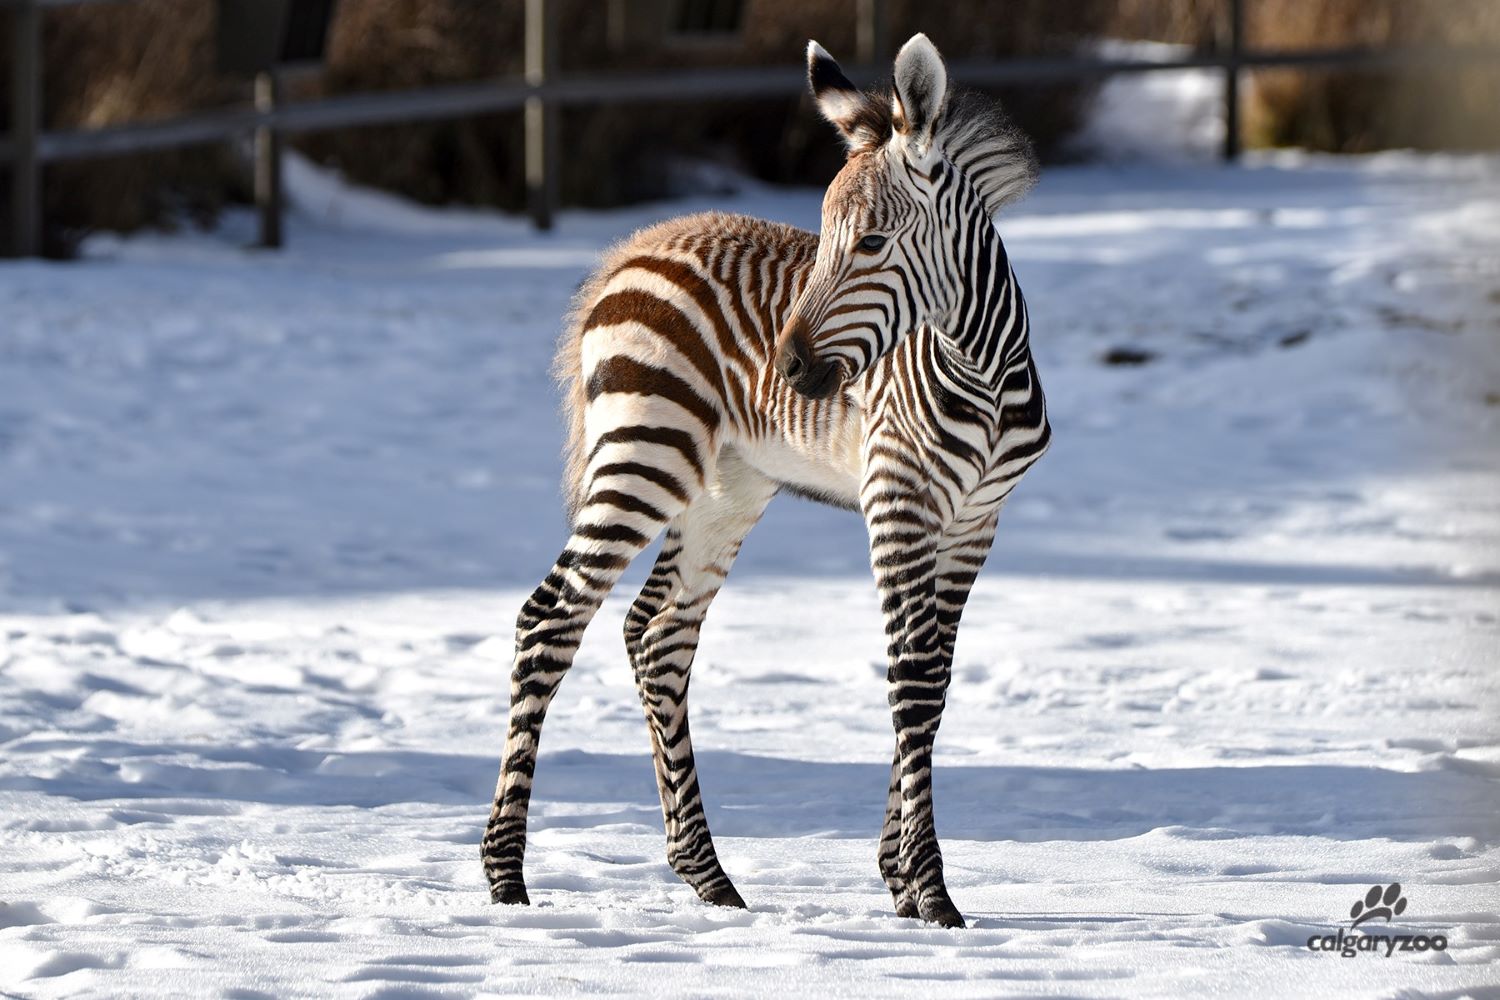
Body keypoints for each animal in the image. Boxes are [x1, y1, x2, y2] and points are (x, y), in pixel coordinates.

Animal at [482, 33, 1049, 928]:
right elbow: (910, 679)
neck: (980, 369)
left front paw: (899, 878)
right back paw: (506, 878)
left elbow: (932, 678)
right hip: (645, 456)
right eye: (823, 238)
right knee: (550, 618)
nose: (788, 370)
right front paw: (929, 890)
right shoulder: (897, 502)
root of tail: (630, 252)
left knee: (656, 634)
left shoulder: (973, 523)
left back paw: (707, 875)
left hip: (725, 489)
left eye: (872, 244)